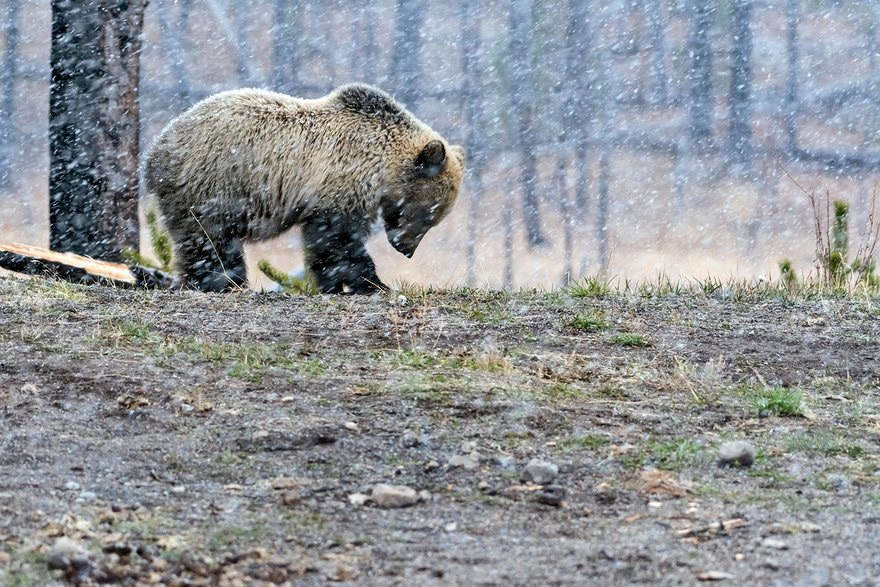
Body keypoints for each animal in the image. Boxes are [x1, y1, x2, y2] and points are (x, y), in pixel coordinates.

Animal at [141, 82, 464, 294]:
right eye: (429, 214)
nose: (406, 249)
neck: (381, 167)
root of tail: (155, 153)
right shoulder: (341, 186)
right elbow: (340, 241)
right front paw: (374, 283)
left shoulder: (323, 200)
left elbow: (322, 244)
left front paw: (334, 284)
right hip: (211, 186)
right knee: (210, 241)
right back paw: (222, 282)